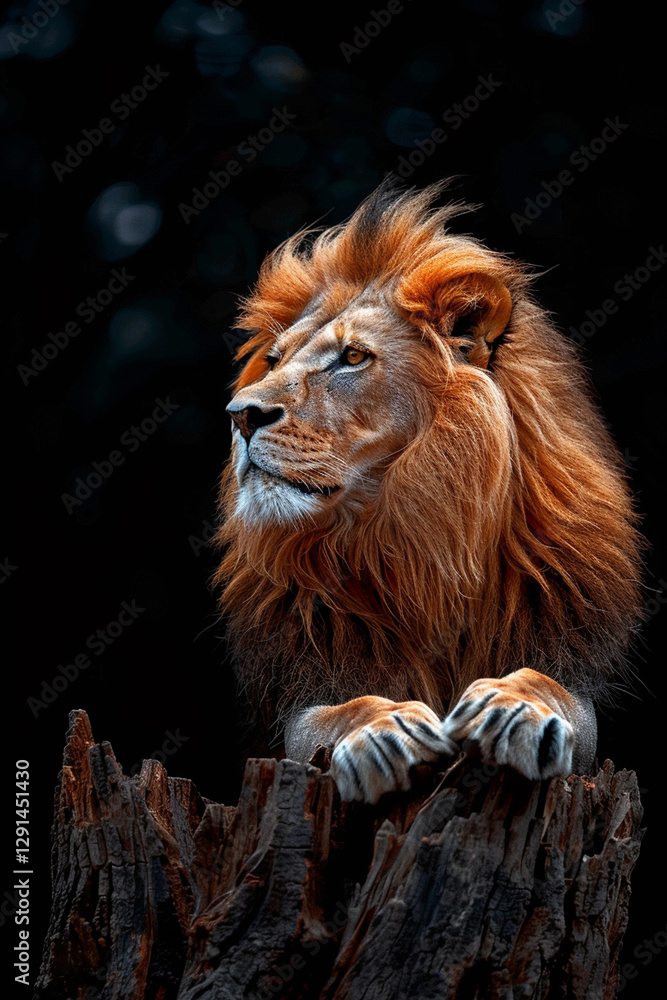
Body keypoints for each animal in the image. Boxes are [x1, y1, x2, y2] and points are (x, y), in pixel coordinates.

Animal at [213, 179, 643, 804]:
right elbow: (339, 710)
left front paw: (513, 709)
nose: (240, 415)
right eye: (273, 360)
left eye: (352, 357)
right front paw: (383, 731)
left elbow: (550, 686)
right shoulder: (308, 684)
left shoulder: (565, 657)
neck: (418, 532)